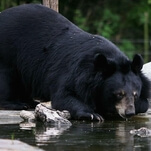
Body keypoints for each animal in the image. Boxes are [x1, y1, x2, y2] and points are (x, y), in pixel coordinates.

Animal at [0, 4, 150, 121]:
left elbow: (145, 103)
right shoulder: (74, 72)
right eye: (119, 94)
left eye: (135, 94)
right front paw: (93, 114)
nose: (129, 112)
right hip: (8, 53)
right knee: (7, 79)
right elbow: (64, 95)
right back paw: (18, 104)